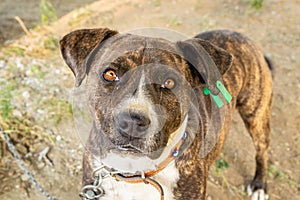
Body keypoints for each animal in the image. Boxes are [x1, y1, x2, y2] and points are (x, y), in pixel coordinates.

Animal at [59, 27, 274, 199]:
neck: (134, 172)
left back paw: (259, 185)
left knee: (262, 151)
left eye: (169, 82)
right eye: (110, 74)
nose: (132, 122)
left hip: (256, 116)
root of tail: (238, 35)